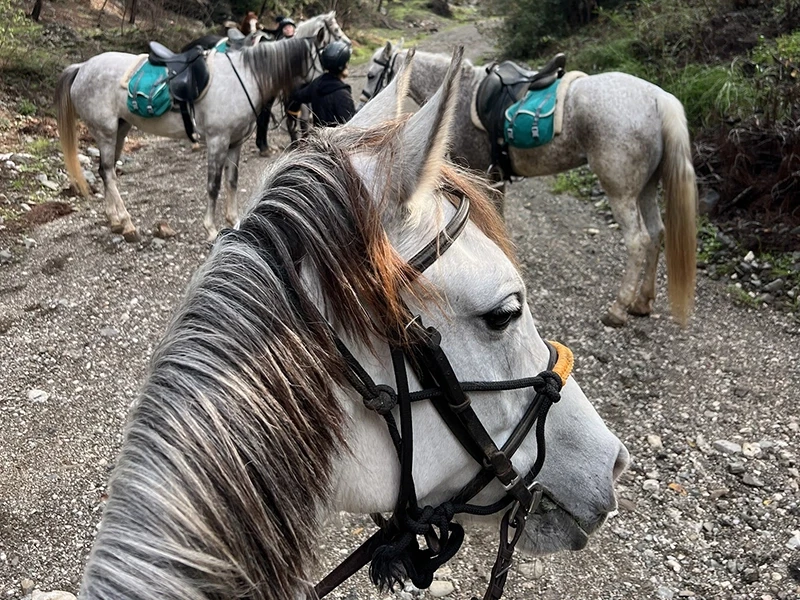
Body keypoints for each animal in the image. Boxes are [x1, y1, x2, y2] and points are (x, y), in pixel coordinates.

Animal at [56, 30, 325, 243]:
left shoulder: (235, 143)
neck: (244, 79)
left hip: (120, 129)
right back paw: (127, 223)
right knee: (109, 173)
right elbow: (213, 185)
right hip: (106, 132)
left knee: (105, 171)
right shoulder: (218, 141)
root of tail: (82, 68)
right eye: (320, 59)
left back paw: (114, 220)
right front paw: (211, 229)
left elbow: (232, 181)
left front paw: (234, 220)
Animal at [360, 43, 697, 328]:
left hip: (620, 189)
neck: (464, 95)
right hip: (647, 187)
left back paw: (619, 307)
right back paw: (642, 302)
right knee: (656, 233)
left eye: (373, 73)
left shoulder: (481, 174)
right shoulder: (495, 178)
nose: (361, 106)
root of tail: (658, 97)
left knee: (638, 240)